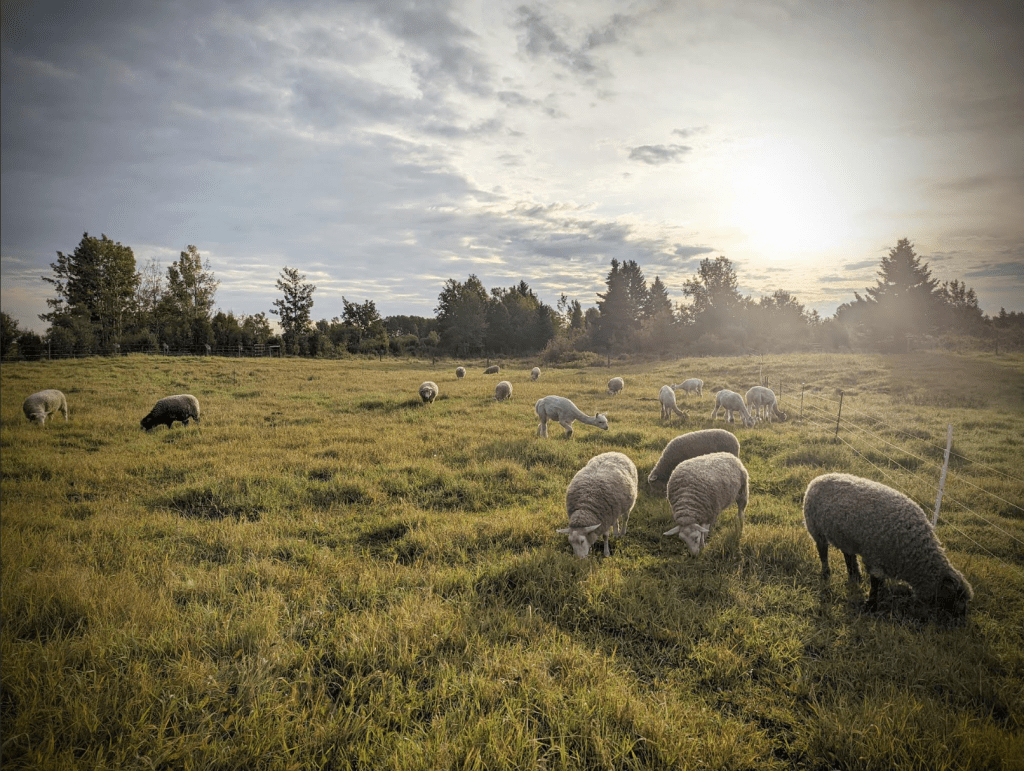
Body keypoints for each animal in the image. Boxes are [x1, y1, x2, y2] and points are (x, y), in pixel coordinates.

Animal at [803, 473, 973, 614]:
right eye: (956, 597)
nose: (962, 618)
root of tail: (818, 478)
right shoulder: (875, 559)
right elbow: (875, 583)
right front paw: (871, 606)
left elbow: (879, 582)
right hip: (816, 529)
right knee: (823, 552)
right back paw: (826, 573)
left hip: (845, 536)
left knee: (848, 554)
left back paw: (855, 576)